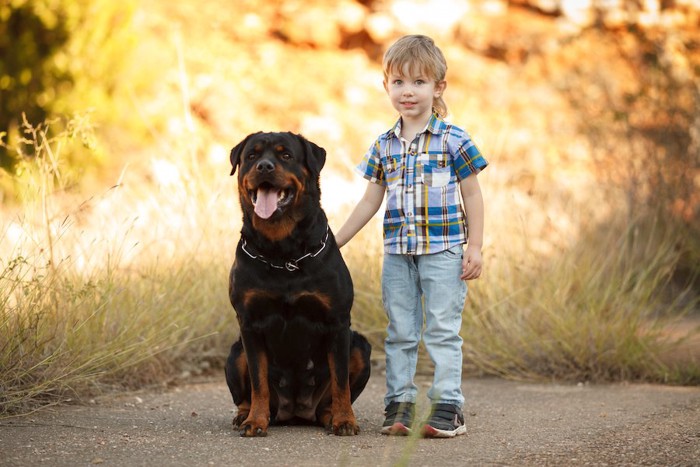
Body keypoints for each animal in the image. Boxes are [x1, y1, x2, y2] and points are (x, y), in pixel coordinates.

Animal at [227, 133, 372, 438]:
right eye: (251, 156)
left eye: (286, 156)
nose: (264, 167)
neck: (283, 254)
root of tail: (295, 411)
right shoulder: (249, 323)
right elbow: (258, 381)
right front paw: (256, 421)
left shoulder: (338, 322)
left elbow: (341, 381)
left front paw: (345, 420)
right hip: (235, 352)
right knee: (246, 393)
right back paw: (246, 415)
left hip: (360, 346)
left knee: (332, 397)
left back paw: (331, 416)